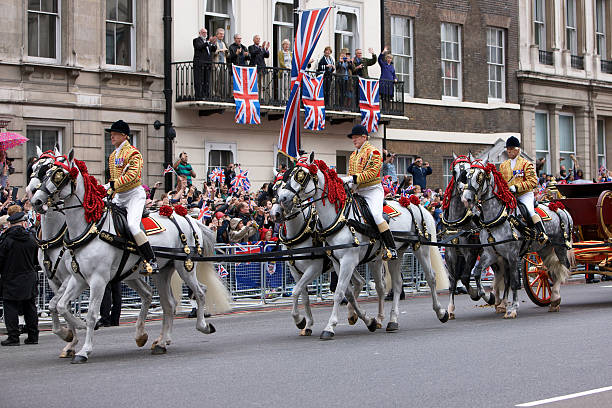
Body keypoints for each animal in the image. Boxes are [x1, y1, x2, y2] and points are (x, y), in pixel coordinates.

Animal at [29, 151, 230, 364]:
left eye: (57, 174)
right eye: (38, 170)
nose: (36, 199)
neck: (89, 228)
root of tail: (186, 216)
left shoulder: (96, 280)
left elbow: (88, 313)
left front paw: (83, 348)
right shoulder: (73, 278)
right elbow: (59, 305)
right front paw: (71, 335)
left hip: (185, 266)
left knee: (200, 292)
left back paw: (202, 326)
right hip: (159, 272)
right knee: (166, 303)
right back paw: (159, 341)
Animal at [274, 152, 448, 338]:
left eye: (300, 175)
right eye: (275, 188)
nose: (282, 201)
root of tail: (415, 204)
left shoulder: (333, 263)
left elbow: (337, 292)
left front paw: (328, 326)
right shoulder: (331, 263)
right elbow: (311, 293)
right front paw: (305, 322)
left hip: (421, 249)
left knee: (431, 277)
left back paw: (441, 312)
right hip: (391, 255)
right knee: (392, 285)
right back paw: (389, 320)